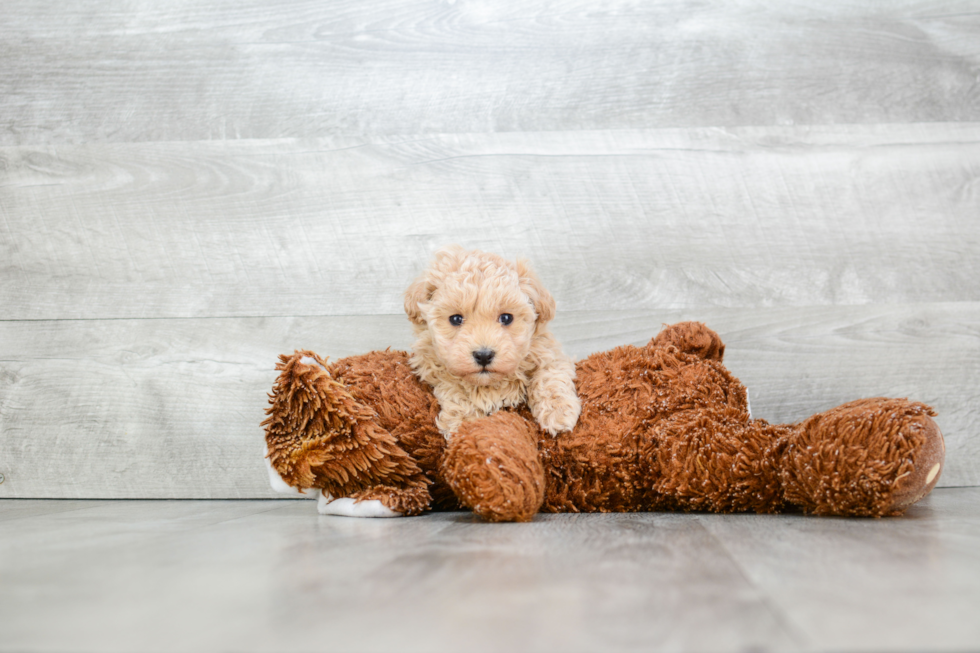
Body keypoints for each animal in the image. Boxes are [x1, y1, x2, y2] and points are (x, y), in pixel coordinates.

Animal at [402, 244, 580, 438]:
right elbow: (455, 389)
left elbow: (549, 377)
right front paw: (463, 425)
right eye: (456, 319)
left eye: (506, 318)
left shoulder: (548, 351)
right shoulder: (433, 366)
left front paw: (558, 413)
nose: (483, 355)